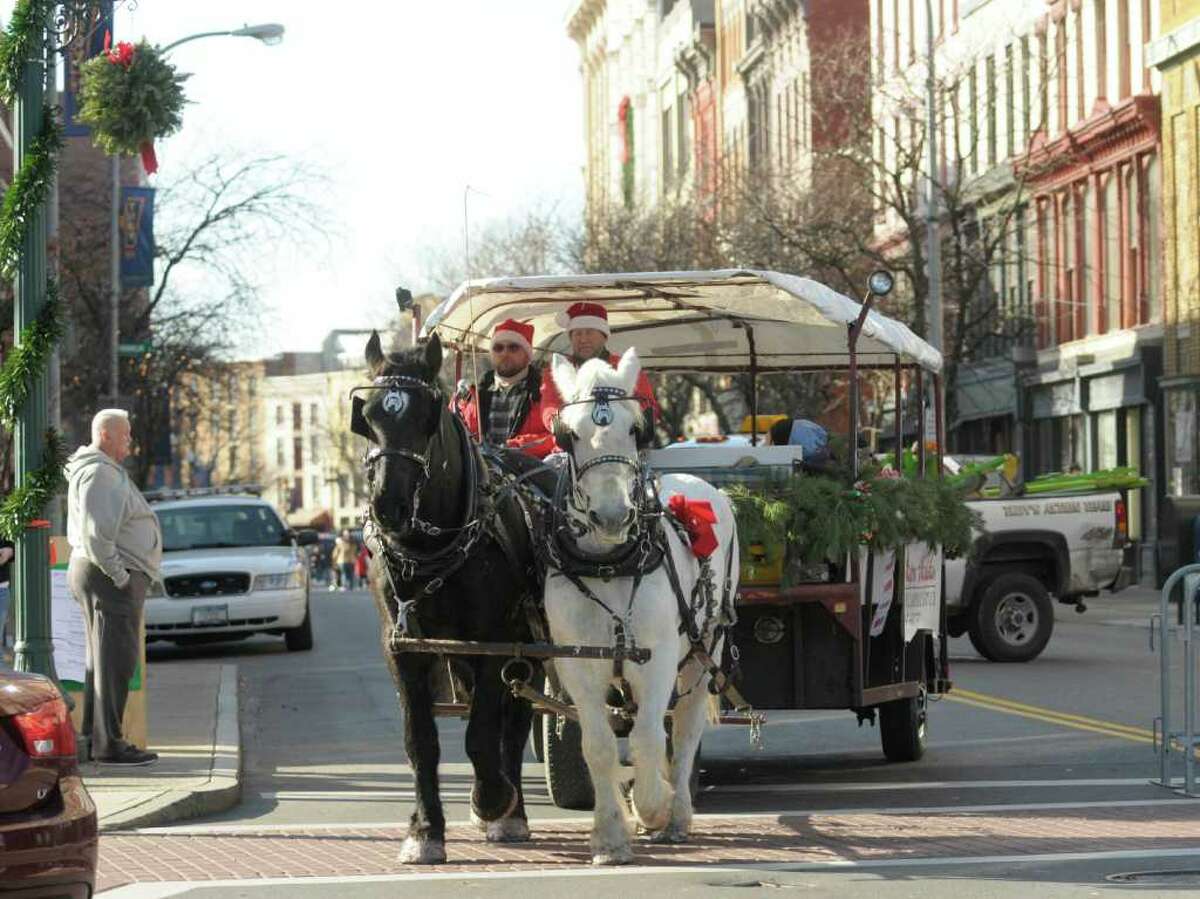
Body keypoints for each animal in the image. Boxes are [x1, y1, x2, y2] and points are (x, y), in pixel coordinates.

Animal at [352, 328, 542, 864]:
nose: (388, 505)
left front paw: (492, 799)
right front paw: (424, 830)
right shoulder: (402, 647)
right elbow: (421, 740)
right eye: (367, 417)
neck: (428, 548)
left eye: (425, 417)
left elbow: (481, 734)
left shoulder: (493, 641)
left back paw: (511, 812)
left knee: (514, 722)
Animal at [547, 348, 734, 864]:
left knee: (685, 728)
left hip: (704, 649)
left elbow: (651, 735)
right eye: (569, 433)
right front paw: (611, 834)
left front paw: (652, 806)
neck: (610, 564)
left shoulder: (659, 658)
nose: (612, 516)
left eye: (636, 429)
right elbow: (599, 746)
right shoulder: (577, 666)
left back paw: (678, 812)